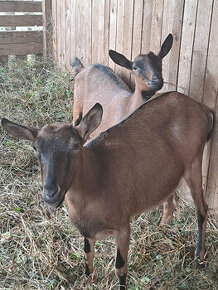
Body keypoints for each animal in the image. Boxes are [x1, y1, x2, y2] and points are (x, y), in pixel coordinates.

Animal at [1, 92, 214, 288]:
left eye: (76, 145)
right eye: (35, 148)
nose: (51, 193)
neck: (96, 180)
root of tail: (201, 108)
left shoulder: (123, 227)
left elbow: (120, 267)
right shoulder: (87, 231)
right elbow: (87, 254)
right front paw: (87, 281)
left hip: (194, 161)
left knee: (202, 209)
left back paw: (199, 256)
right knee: (171, 202)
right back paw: (159, 231)